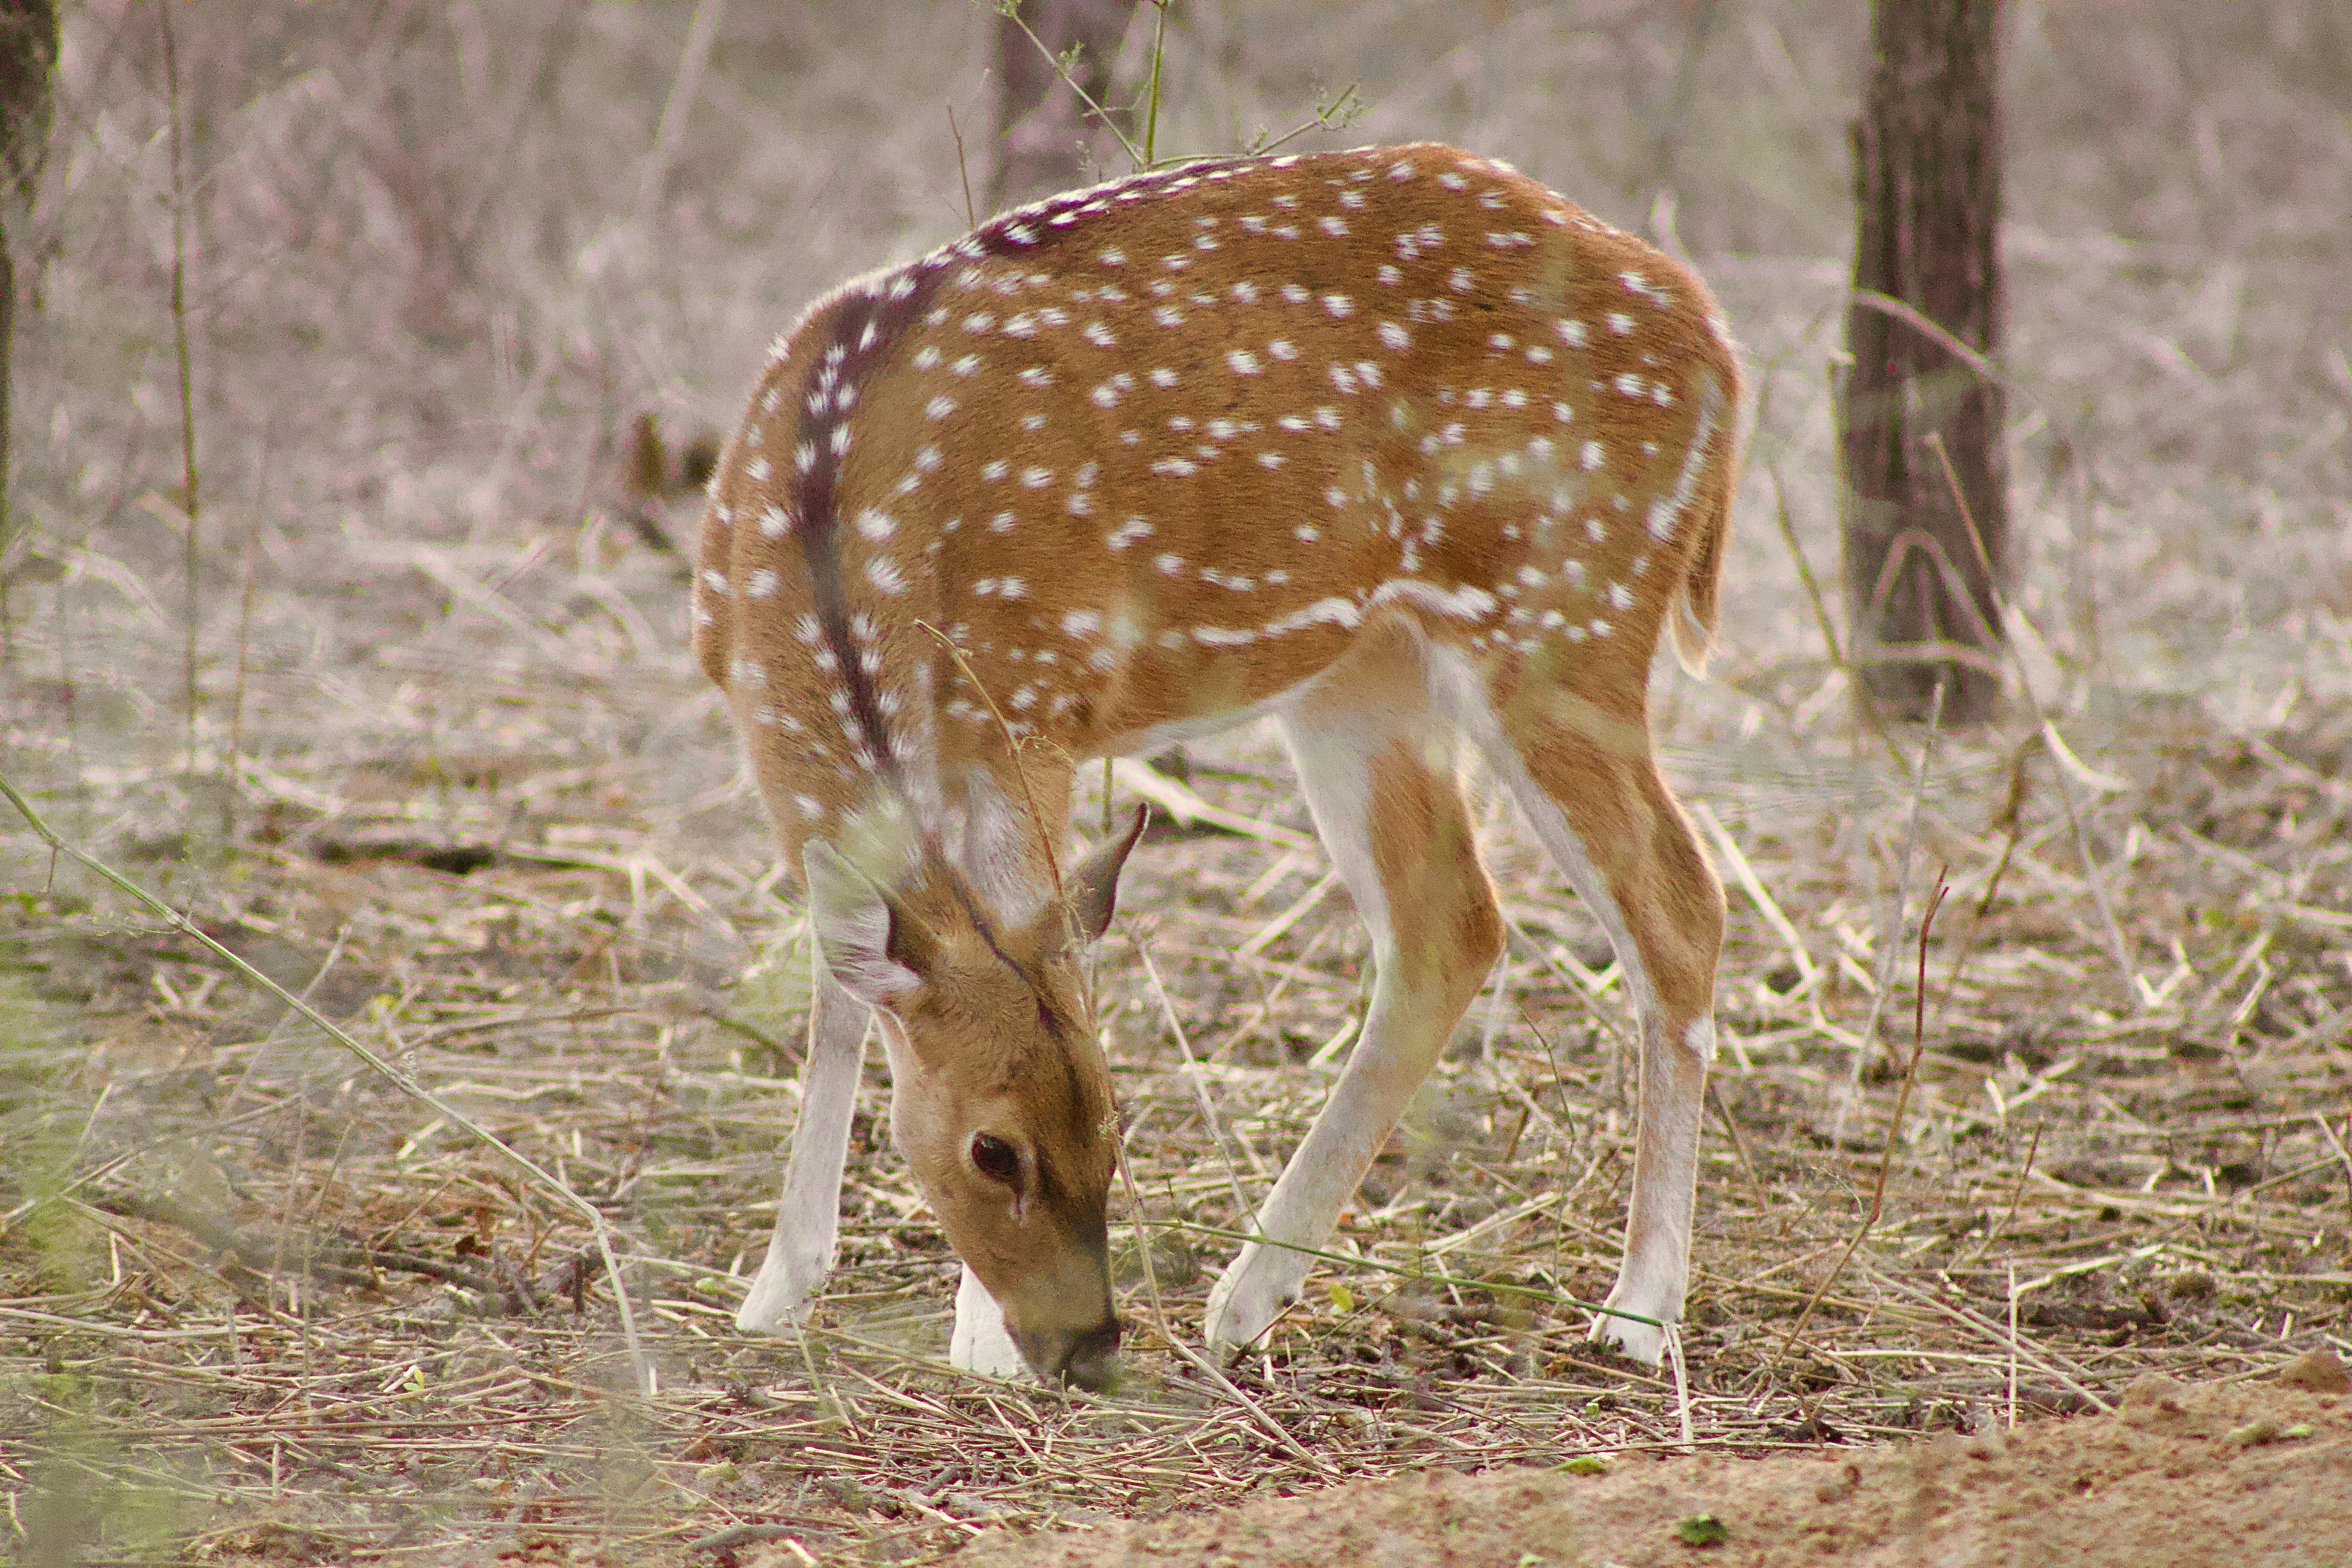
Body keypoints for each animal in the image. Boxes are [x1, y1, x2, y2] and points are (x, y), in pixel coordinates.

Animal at [694, 142, 1740, 1392]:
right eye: (994, 1151)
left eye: (1112, 1120)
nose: (1089, 1342)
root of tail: (1714, 338)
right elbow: (843, 989)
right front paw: (775, 1290)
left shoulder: (1035, 703)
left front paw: (976, 1341)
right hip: (1365, 671)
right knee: (1452, 923)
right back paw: (1248, 1299)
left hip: (1566, 610)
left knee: (1678, 906)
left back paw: (1638, 1309)